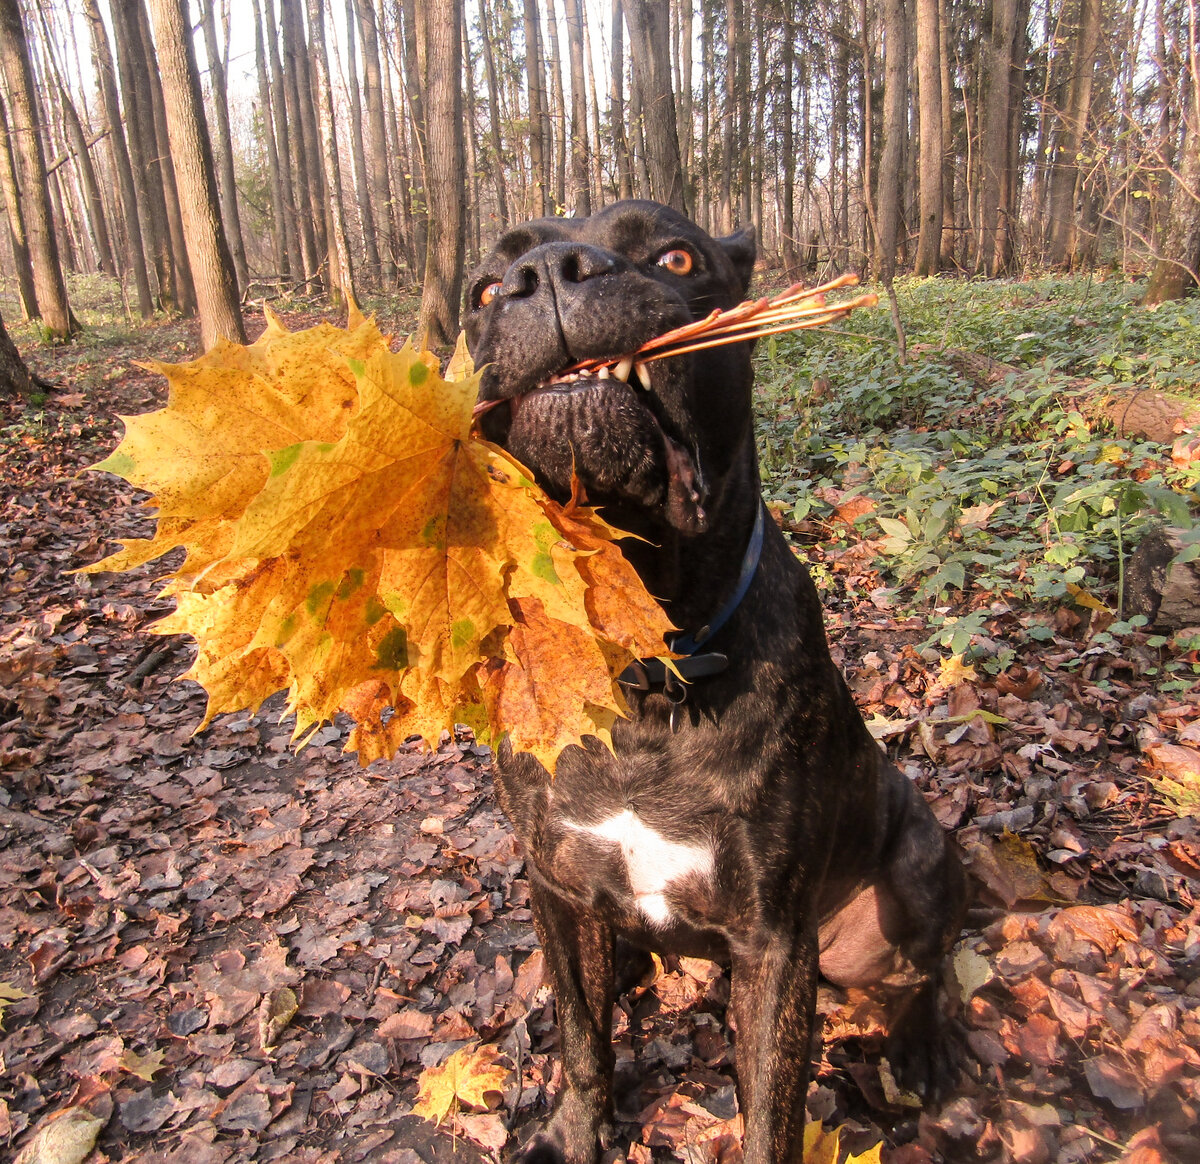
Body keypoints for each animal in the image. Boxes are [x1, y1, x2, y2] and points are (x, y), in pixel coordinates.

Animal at [460, 204, 964, 1161]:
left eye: (677, 257)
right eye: (482, 288)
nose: (549, 272)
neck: (645, 676)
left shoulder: (773, 944)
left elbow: (771, 1113)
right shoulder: (554, 885)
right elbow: (582, 1034)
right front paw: (579, 1128)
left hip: (921, 863)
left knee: (932, 971)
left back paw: (917, 1052)